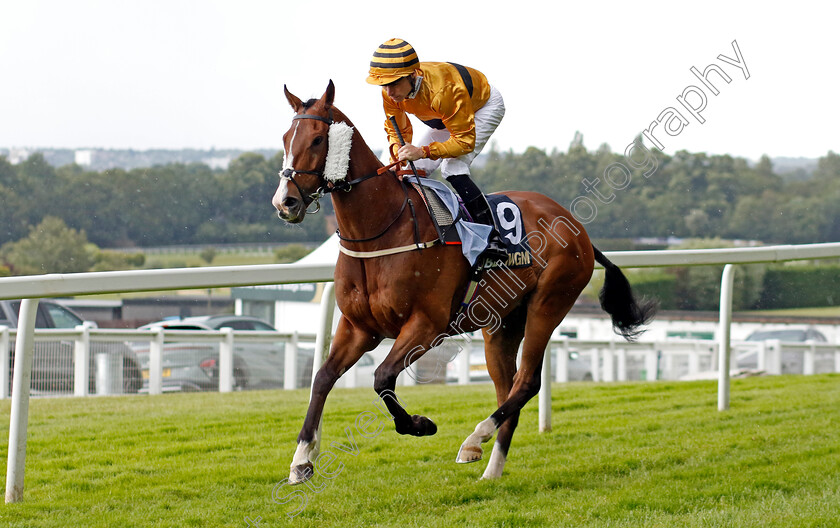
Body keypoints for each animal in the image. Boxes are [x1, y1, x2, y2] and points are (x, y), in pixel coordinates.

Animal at [274, 79, 656, 482]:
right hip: (502, 324)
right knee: (509, 389)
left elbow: (381, 377)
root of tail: (578, 229)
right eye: (285, 138)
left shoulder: (426, 325)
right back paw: (491, 467)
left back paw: (475, 437)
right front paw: (301, 459)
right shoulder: (358, 327)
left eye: (318, 139)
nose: (285, 202)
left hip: (548, 303)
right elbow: (322, 378)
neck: (382, 229)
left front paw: (420, 424)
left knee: (527, 382)